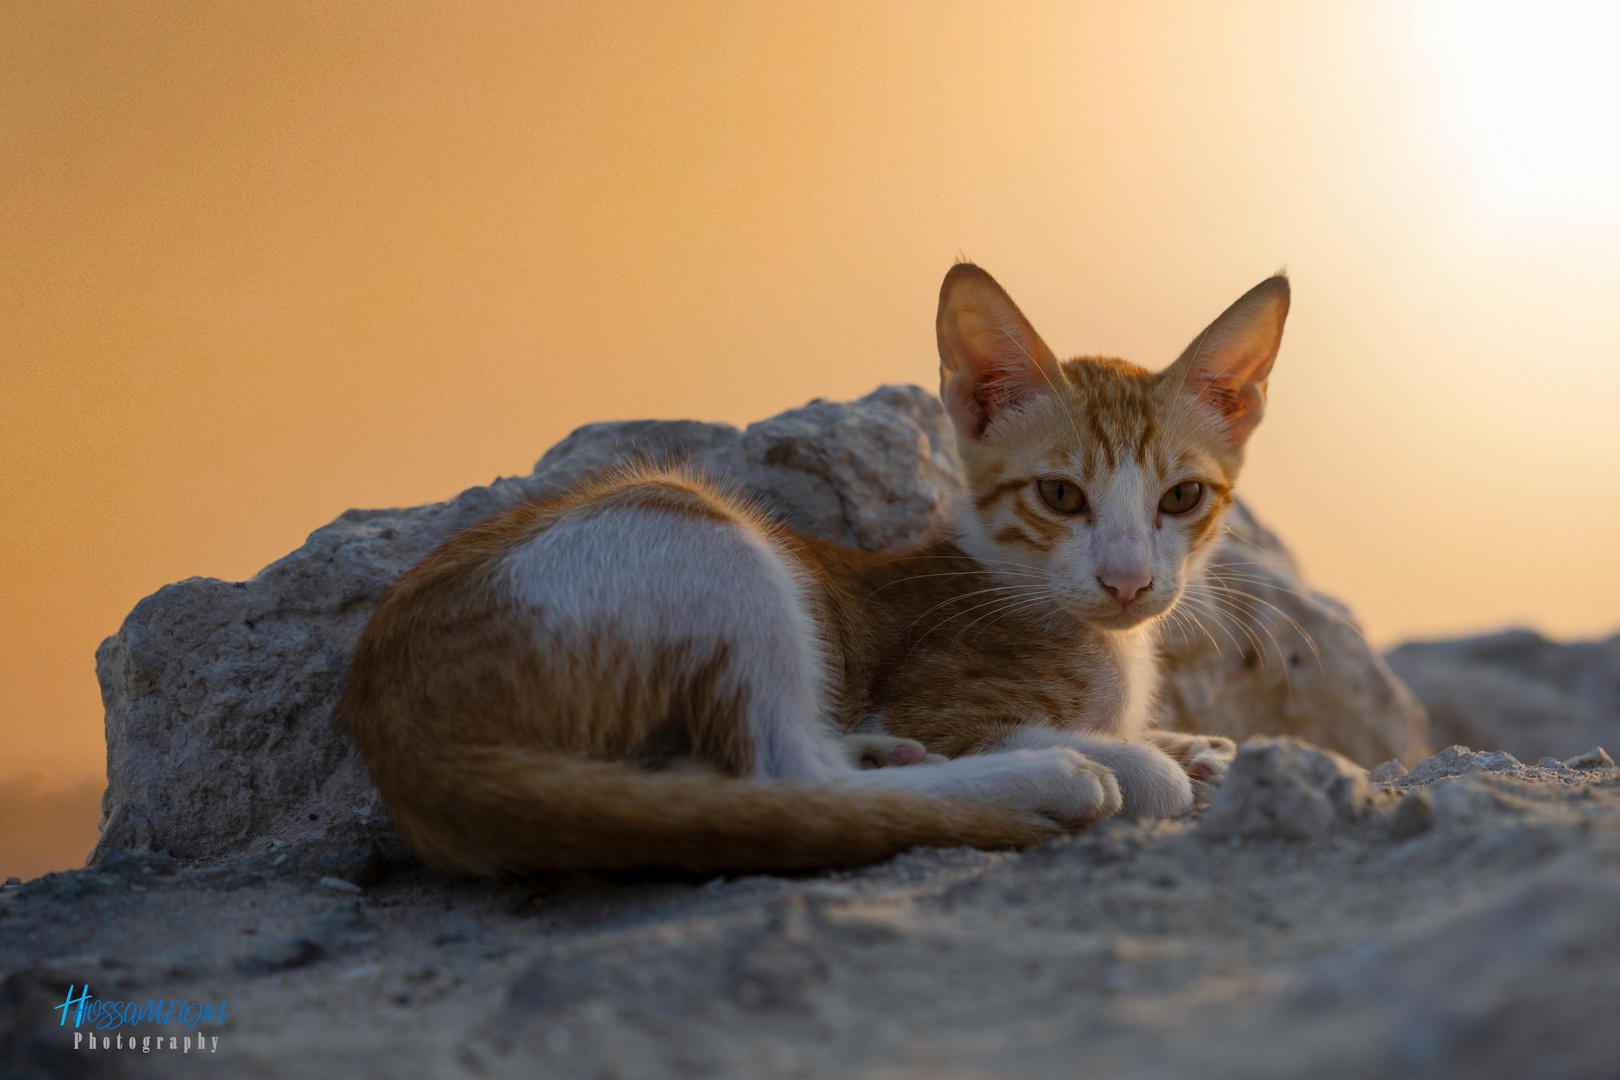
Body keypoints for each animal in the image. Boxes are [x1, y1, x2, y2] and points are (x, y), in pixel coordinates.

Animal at [338, 262, 1289, 880]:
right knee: (788, 773)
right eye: (1059, 495)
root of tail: (398, 727)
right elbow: (1119, 763)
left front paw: (1192, 743)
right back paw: (1039, 780)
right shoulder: (938, 702)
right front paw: (1145, 760)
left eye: (1182, 497)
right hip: (695, 531)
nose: (1128, 581)